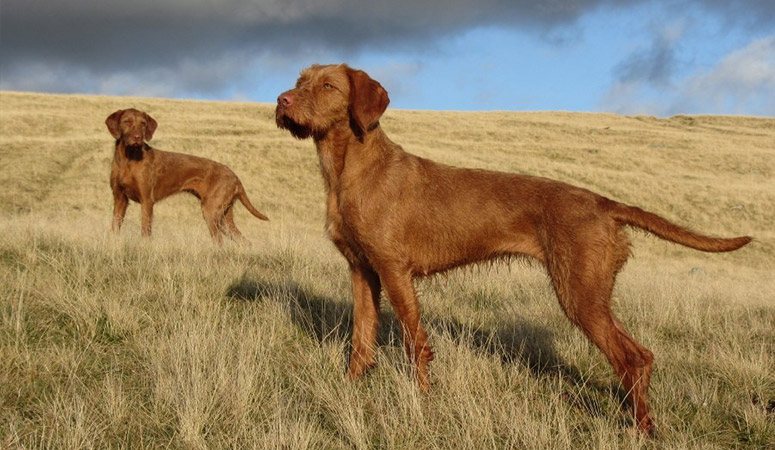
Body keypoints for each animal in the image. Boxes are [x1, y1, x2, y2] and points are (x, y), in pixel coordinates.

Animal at [106, 108, 268, 241]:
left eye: (143, 124)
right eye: (126, 121)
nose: (137, 137)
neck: (128, 159)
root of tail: (235, 176)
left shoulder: (147, 200)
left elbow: (145, 230)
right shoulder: (120, 199)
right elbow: (114, 227)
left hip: (211, 211)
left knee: (219, 241)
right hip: (224, 217)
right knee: (244, 241)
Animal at [274, 63, 752, 432]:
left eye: (328, 86)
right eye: (299, 80)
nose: (281, 101)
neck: (351, 169)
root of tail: (604, 203)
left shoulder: (395, 270)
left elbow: (415, 343)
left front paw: (422, 400)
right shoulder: (362, 270)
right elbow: (361, 339)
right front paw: (351, 388)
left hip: (580, 295)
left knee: (634, 357)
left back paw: (641, 428)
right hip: (589, 293)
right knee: (641, 356)